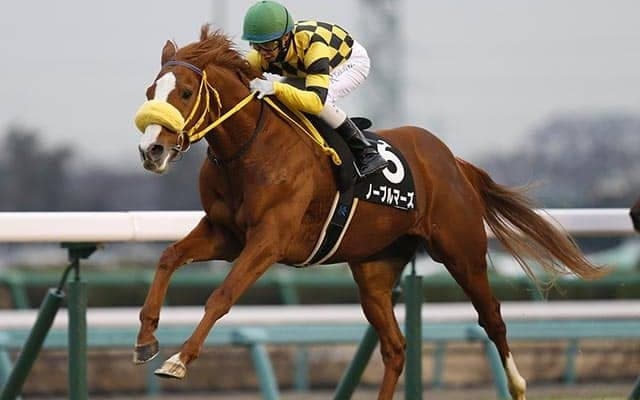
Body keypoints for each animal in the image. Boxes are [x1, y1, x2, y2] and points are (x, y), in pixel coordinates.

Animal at [132, 25, 604, 400]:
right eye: (150, 93)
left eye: (185, 93)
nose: (151, 150)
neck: (249, 150)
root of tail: (453, 162)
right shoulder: (225, 235)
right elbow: (167, 258)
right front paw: (145, 340)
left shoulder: (269, 240)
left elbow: (222, 295)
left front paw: (178, 360)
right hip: (375, 268)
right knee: (394, 347)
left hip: (462, 253)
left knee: (493, 319)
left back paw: (518, 385)